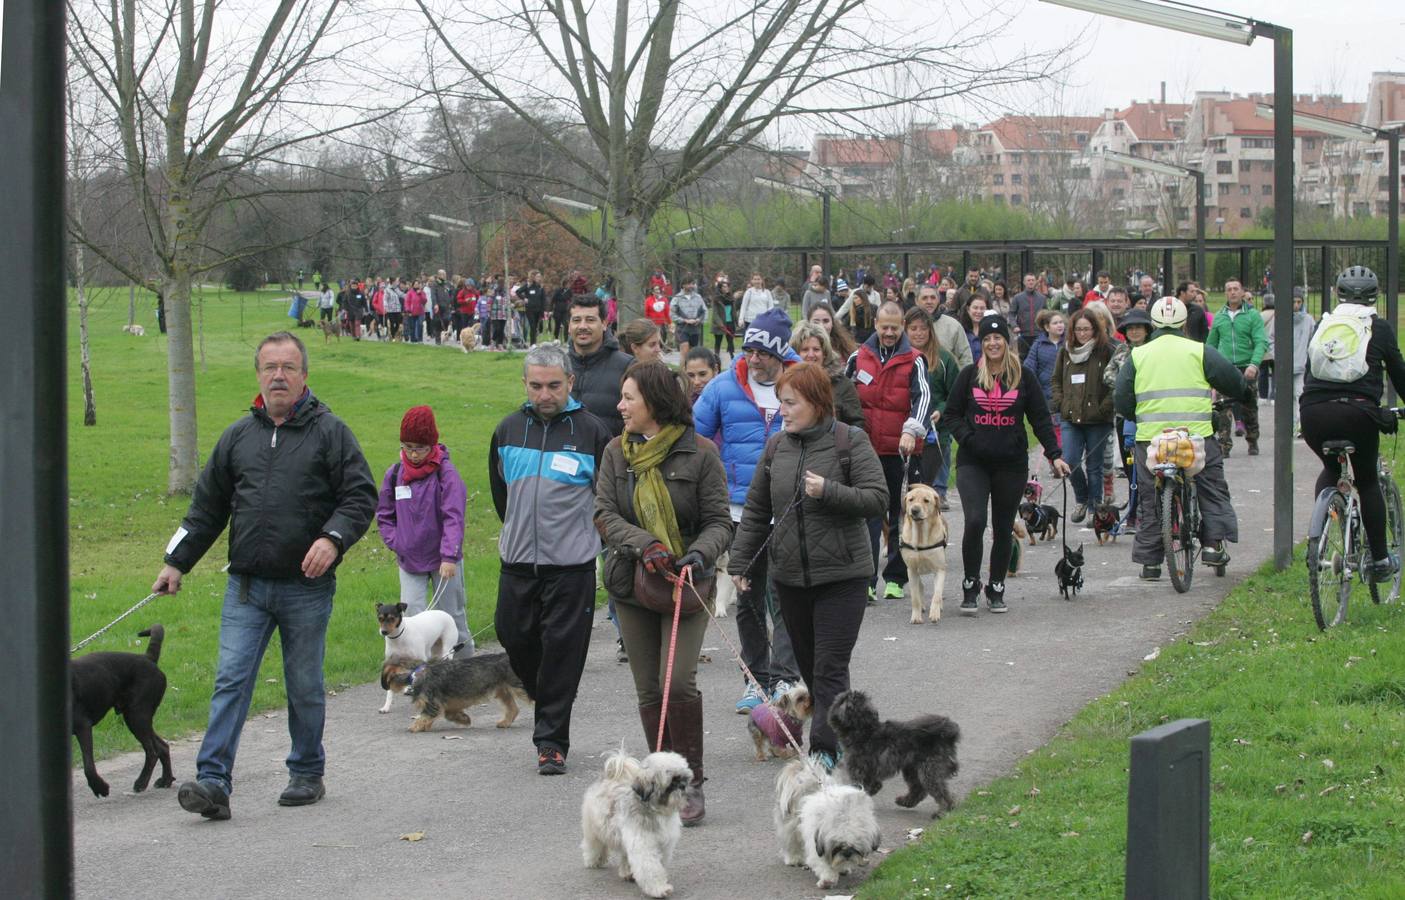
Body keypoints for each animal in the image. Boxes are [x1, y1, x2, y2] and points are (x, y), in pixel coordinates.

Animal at [70, 623, 174, 791]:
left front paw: (99, 787)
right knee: (162, 747)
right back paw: (166, 780)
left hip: (137, 716)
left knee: (152, 751)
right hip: (138, 717)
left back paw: (141, 782)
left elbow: (89, 766)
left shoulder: (83, 726)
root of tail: (148, 658)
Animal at [379, 651, 531, 730]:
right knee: (513, 709)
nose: (385, 687)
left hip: (519, 687)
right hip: (502, 690)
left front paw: (414, 727)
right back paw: (505, 722)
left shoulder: (432, 704)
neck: (416, 673)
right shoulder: (449, 706)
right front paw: (465, 719)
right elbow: (450, 715)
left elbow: (423, 717)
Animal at [581, 746, 691, 892]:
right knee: (594, 844)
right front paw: (659, 888)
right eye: (672, 781)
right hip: (594, 829)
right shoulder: (643, 845)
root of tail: (610, 778)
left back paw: (626, 872)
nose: (683, 786)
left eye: (684, 778)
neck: (655, 810)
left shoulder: (663, 844)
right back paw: (594, 860)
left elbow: (658, 865)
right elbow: (651, 868)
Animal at [781, 752, 876, 887]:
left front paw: (842, 868)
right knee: (791, 842)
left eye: (855, 844)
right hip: (792, 827)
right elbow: (822, 863)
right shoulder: (816, 843)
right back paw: (793, 859)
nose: (847, 853)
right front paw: (828, 879)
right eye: (838, 845)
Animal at [826, 690, 961, 819]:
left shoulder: (858, 771)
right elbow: (873, 786)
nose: (834, 703)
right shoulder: (870, 774)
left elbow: (859, 788)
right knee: (920, 789)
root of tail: (946, 735)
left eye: (840, 701)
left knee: (940, 792)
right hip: (912, 768)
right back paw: (907, 801)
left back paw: (942, 812)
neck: (863, 730)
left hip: (929, 770)